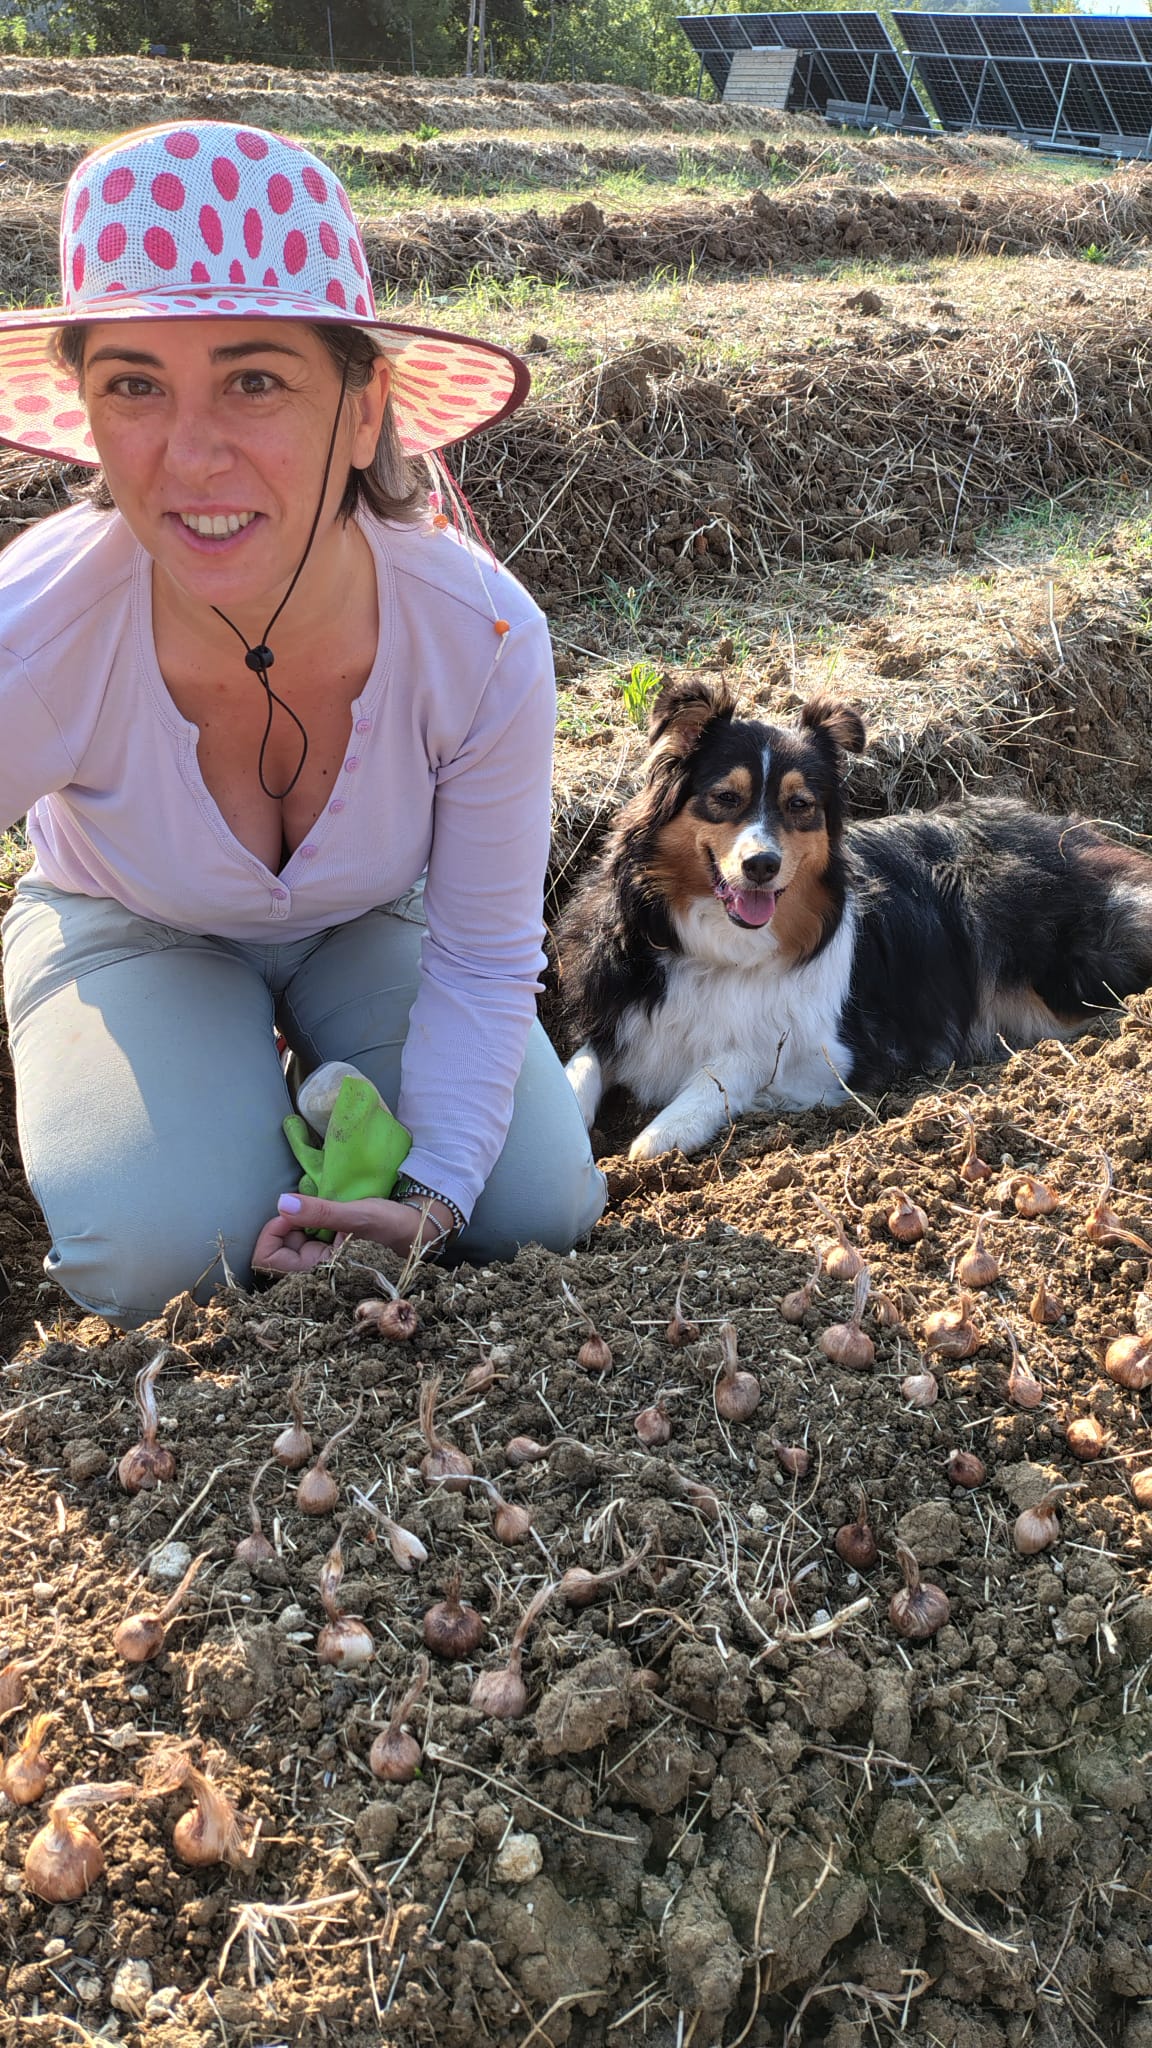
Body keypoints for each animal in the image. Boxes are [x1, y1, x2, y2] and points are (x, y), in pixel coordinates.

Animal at [558, 680, 1152, 1161]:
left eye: (800, 805)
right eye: (725, 797)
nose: (761, 865)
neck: (719, 948)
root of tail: (1076, 837)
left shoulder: (836, 1053)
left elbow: (735, 1063)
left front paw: (664, 1131)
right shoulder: (619, 1012)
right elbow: (580, 1065)